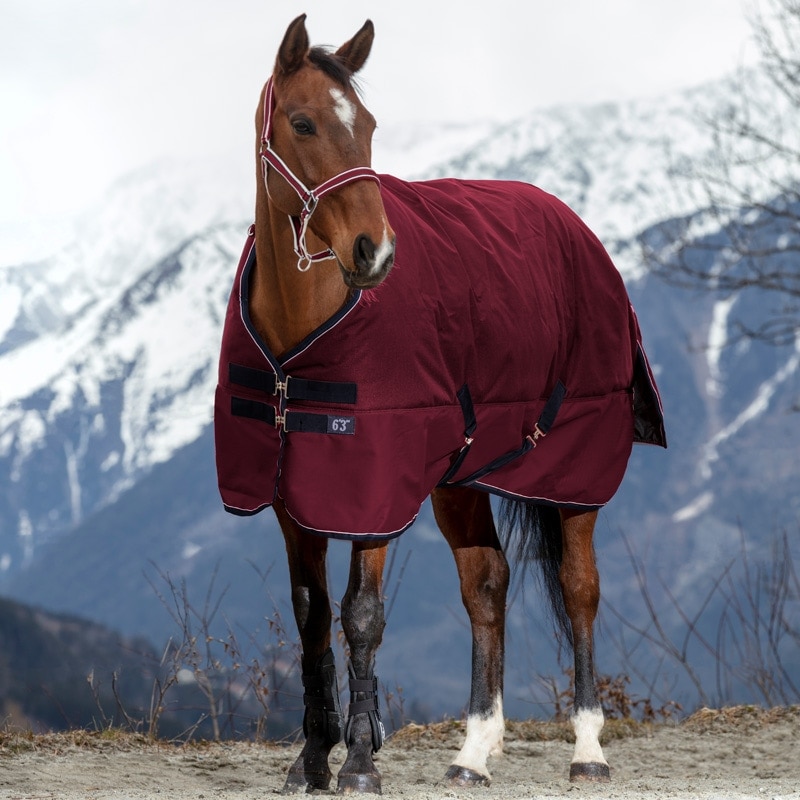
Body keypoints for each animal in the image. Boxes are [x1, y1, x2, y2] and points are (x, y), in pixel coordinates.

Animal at [214, 14, 666, 794]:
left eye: (367, 125)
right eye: (302, 123)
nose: (375, 252)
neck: (299, 339)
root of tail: (574, 223)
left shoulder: (373, 491)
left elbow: (361, 617)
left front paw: (360, 763)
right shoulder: (292, 496)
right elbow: (311, 617)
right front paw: (312, 759)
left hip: (574, 473)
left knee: (580, 588)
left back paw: (587, 749)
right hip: (462, 477)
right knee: (486, 585)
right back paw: (474, 752)